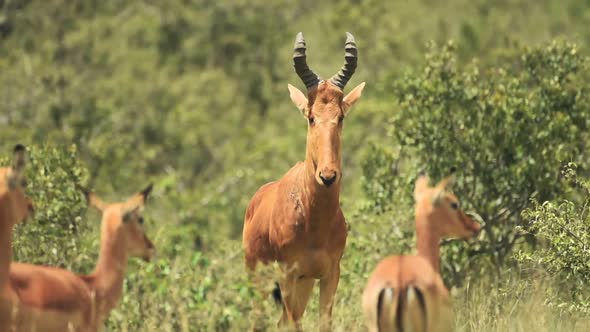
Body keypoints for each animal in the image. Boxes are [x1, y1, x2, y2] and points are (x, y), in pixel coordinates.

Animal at [244, 31, 366, 332]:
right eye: (311, 117)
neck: (314, 221)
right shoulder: (288, 275)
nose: (328, 176)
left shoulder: (330, 274)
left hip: (304, 284)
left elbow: (324, 323)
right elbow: (294, 324)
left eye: (340, 116)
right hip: (259, 281)